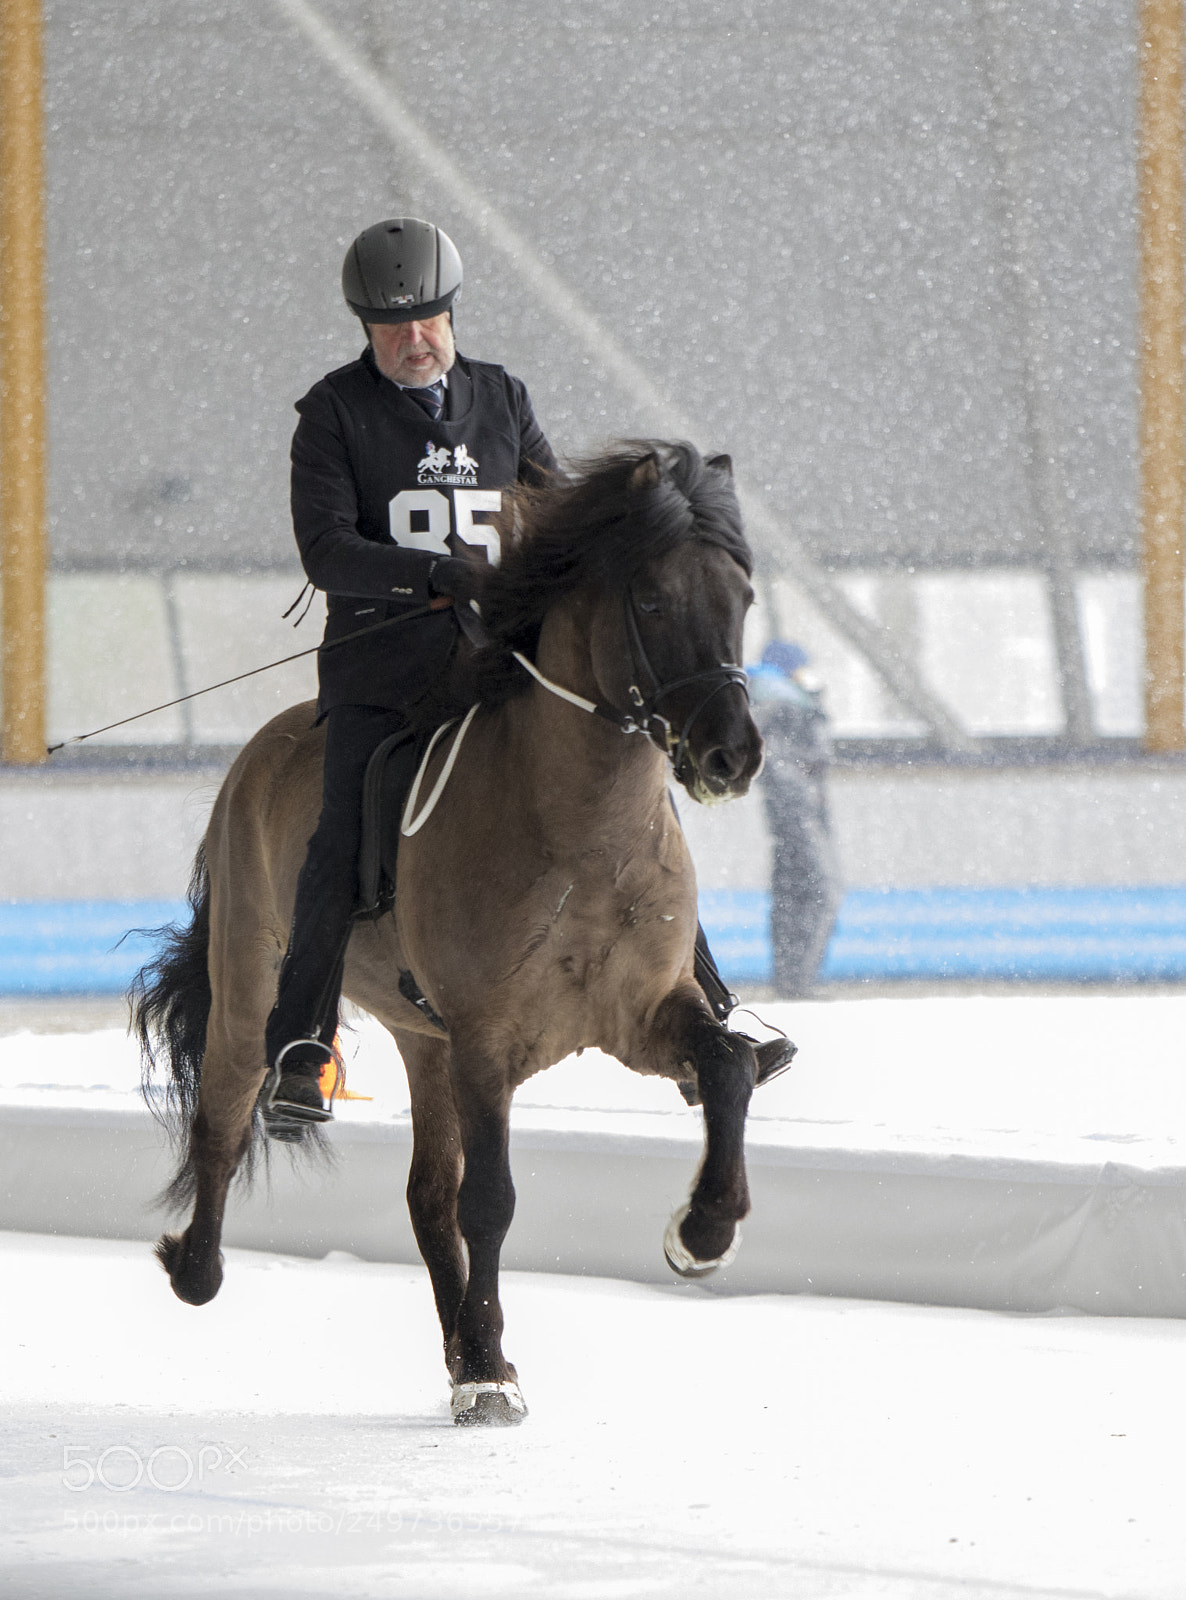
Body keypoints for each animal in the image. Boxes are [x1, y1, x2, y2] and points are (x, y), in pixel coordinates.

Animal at [134, 439, 766, 1426]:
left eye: (742, 597)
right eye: (654, 599)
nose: (731, 755)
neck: (585, 834)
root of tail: (261, 751)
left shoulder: (640, 1014)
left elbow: (729, 1068)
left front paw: (701, 1233)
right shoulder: (485, 1041)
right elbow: (492, 1201)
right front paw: (490, 1372)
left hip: (422, 1040)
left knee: (426, 1196)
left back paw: (466, 1351)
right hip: (254, 986)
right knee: (225, 1118)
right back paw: (197, 1267)